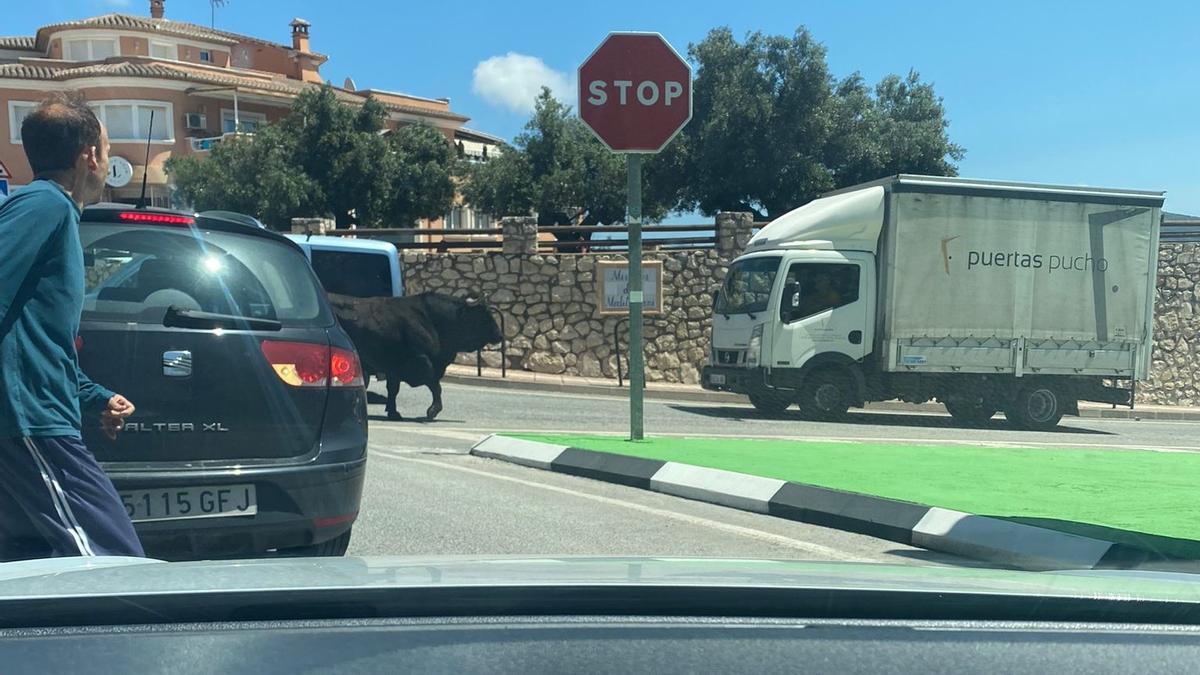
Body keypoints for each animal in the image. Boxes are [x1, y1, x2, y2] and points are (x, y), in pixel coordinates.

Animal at [324, 291, 501, 417]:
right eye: (483, 313)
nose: (499, 335)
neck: (433, 320)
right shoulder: (420, 361)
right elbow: (435, 385)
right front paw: (433, 410)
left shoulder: (393, 367)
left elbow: (393, 389)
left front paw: (393, 412)